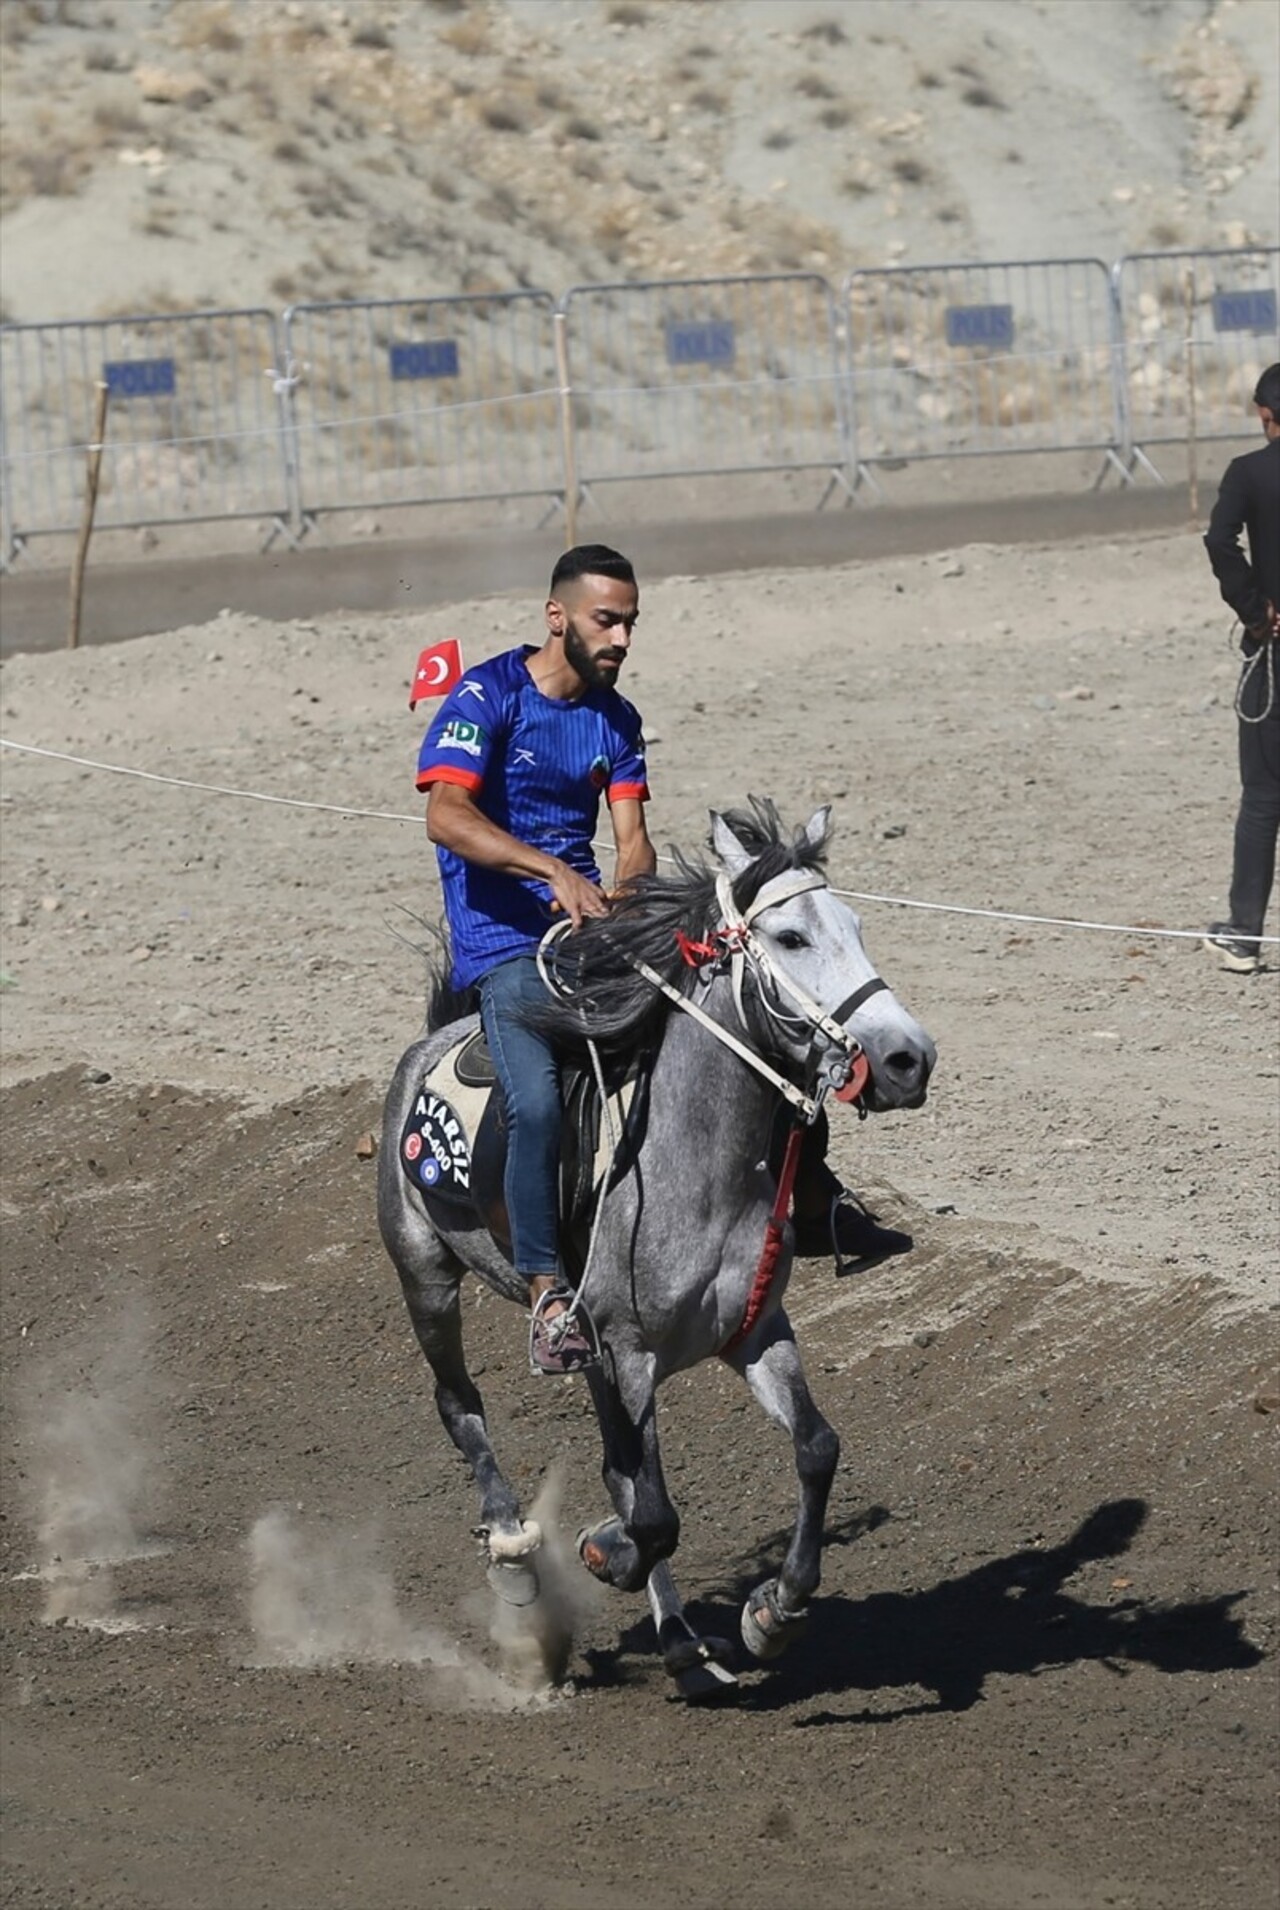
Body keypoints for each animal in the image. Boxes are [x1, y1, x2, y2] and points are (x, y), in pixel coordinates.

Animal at [376, 798, 936, 1696]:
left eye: (855, 925)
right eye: (791, 938)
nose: (908, 1059)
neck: (693, 1164)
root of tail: (439, 1036)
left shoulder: (753, 1330)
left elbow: (814, 1449)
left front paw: (773, 1615)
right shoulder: (621, 1352)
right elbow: (652, 1513)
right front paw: (605, 1551)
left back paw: (680, 1640)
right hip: (427, 1274)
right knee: (461, 1406)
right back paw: (515, 1551)